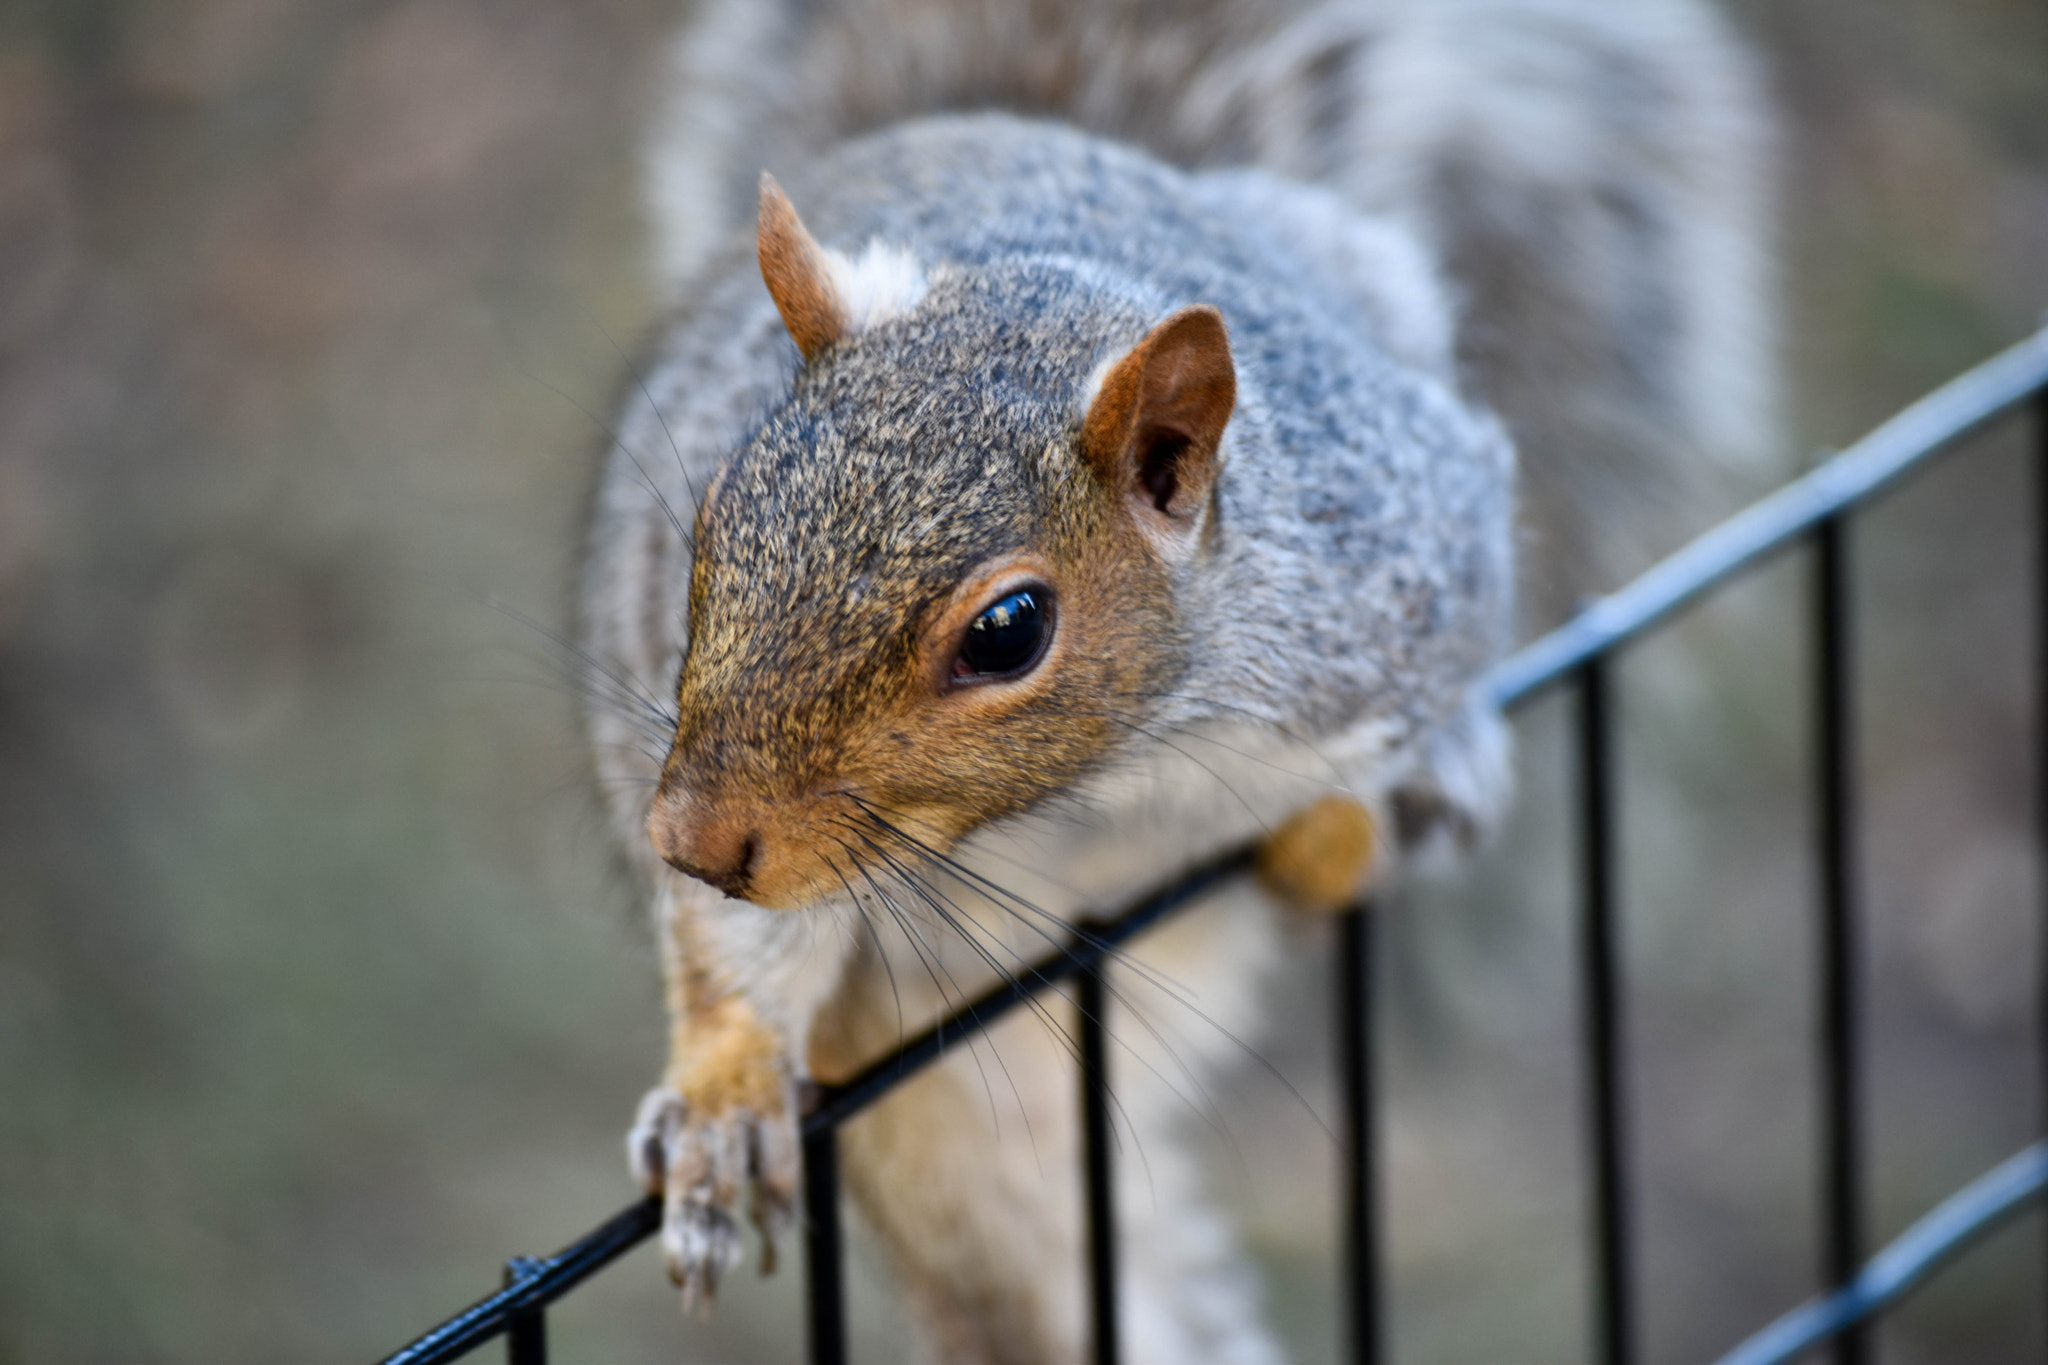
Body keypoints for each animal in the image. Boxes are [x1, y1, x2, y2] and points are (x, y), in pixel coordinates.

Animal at [577, 1, 1775, 1360]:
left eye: (1006, 631)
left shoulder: (1407, 546)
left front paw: (1406, 788)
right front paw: (723, 1101)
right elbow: (740, 945)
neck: (1114, 775)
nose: (685, 838)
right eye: (713, 519)